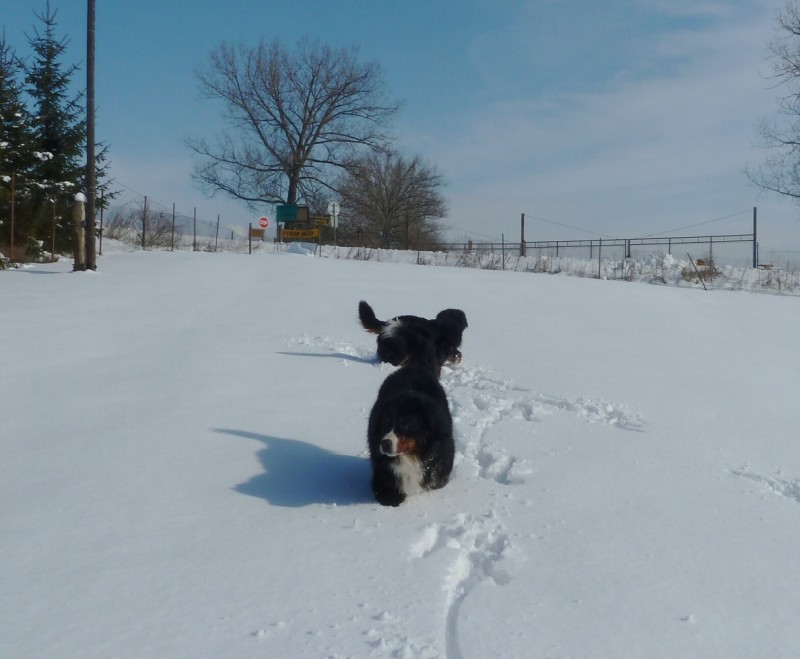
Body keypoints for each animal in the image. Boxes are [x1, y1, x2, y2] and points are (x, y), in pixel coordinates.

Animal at [366, 328, 454, 508]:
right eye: (386, 423)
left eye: (405, 424)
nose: (385, 443)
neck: (411, 457)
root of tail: (416, 367)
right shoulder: (382, 476)